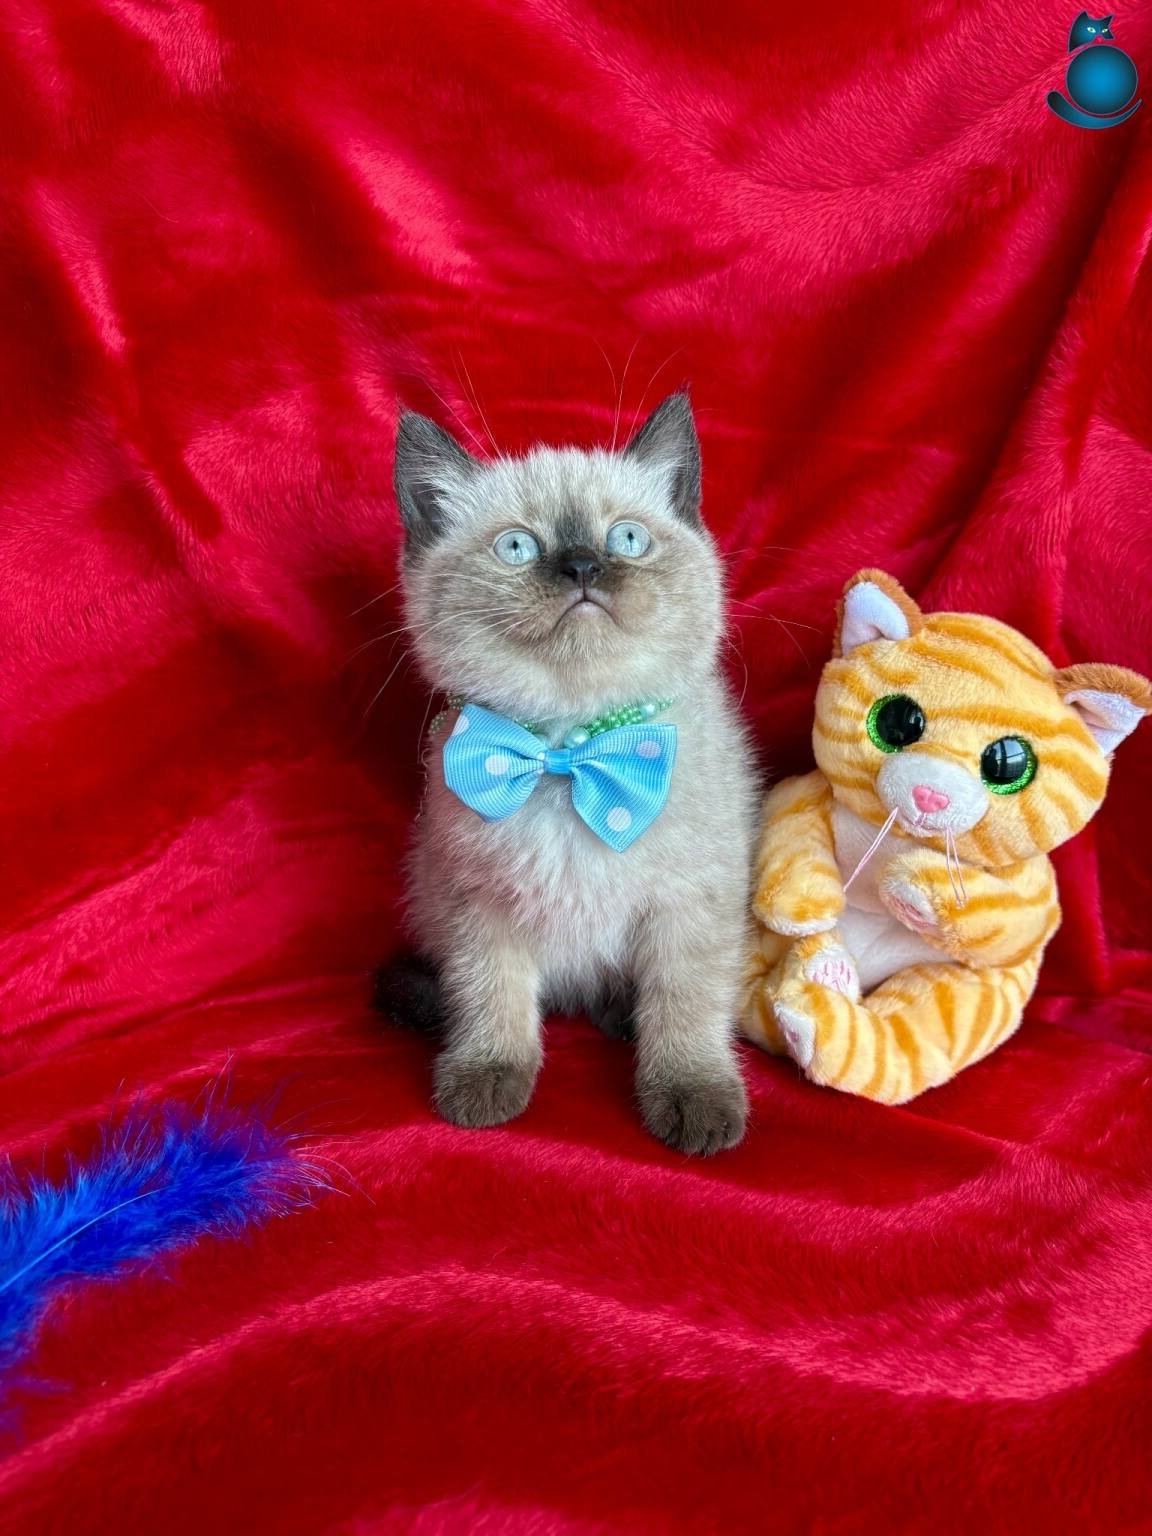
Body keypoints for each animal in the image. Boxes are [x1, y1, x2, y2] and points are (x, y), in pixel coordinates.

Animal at [376, 393, 758, 1154]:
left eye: (628, 540)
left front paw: (693, 1097)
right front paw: (485, 1082)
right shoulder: (478, 906)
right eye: (517, 548)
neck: (571, 751)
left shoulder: (690, 908)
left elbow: (685, 1008)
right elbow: (490, 998)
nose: (582, 566)